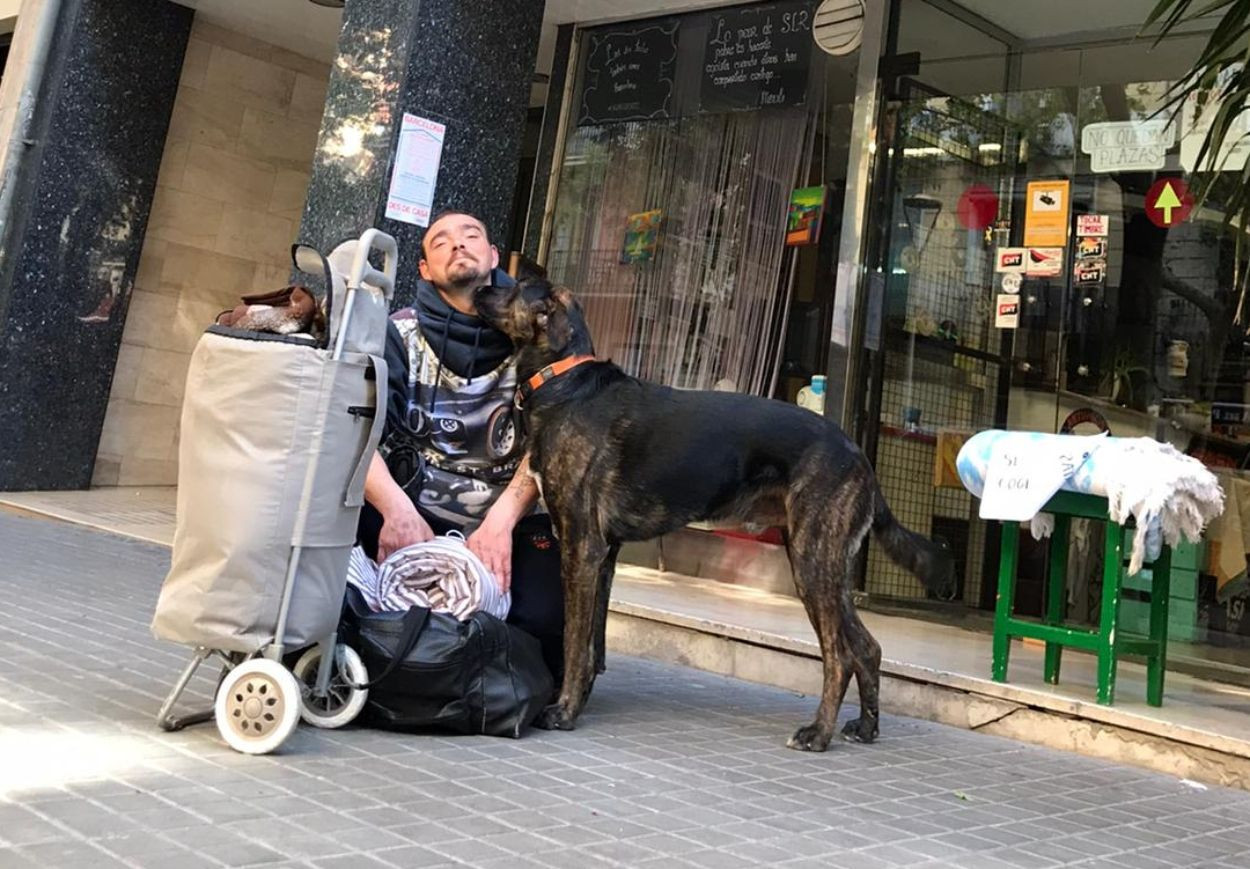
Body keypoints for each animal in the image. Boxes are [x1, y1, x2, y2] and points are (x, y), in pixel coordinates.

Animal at [472, 280, 950, 755]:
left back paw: (818, 733)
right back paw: (866, 727)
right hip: (826, 565)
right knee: (867, 647)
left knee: (839, 655)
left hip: (813, 564)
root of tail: (860, 456)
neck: (564, 379)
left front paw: (565, 711)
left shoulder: (581, 547)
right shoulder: (604, 556)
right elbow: (594, 645)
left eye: (514, 287)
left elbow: (575, 640)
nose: (478, 288)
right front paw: (580, 701)